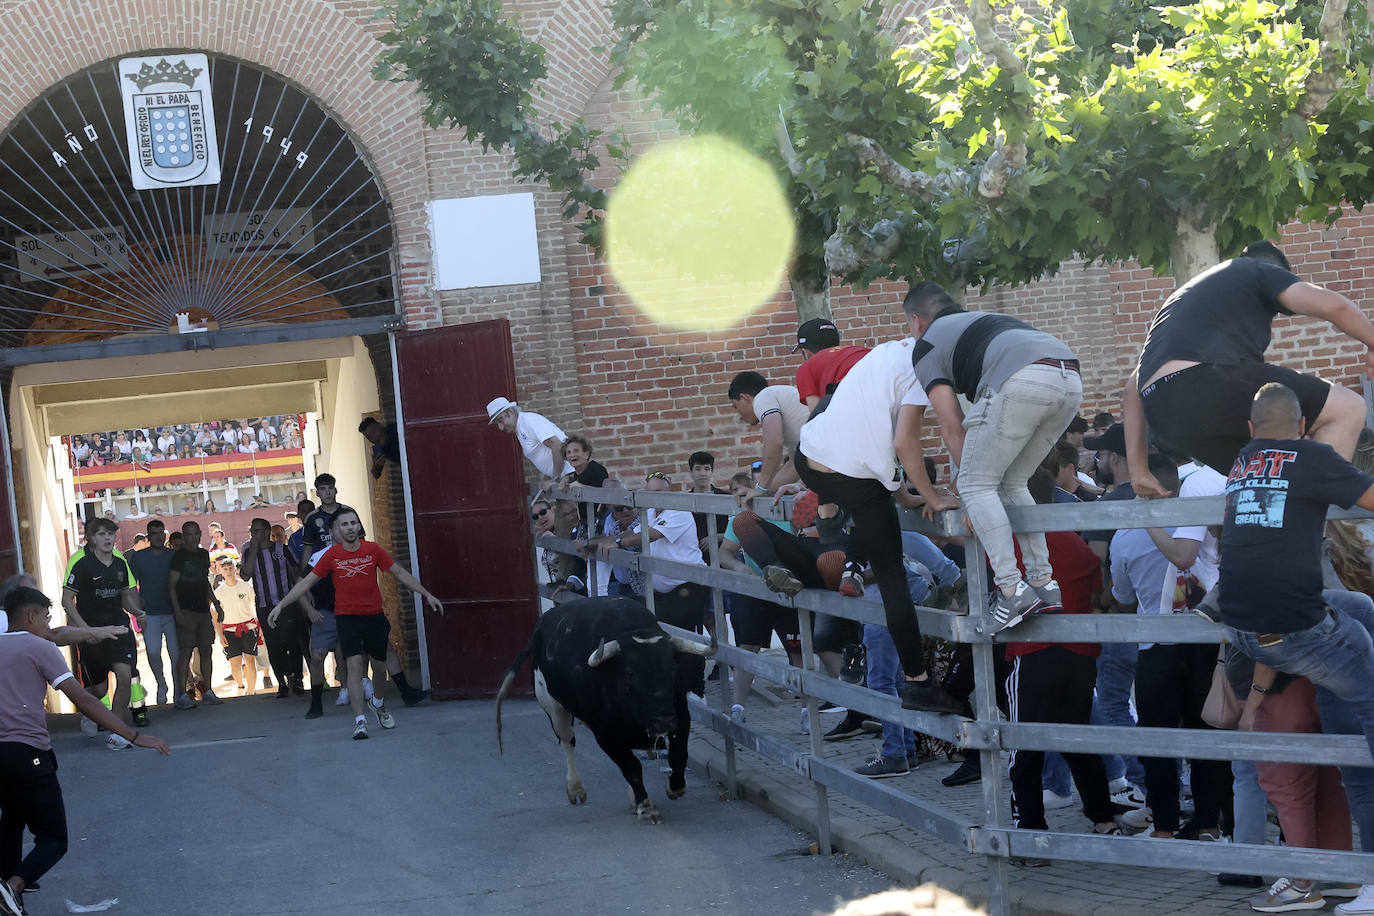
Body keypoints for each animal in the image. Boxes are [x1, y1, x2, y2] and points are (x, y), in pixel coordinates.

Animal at [494, 598, 714, 829]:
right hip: (554, 709)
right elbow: (631, 768)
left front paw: (675, 787)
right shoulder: (605, 735)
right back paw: (575, 788)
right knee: (567, 743)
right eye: (630, 673)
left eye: (673, 669)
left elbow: (679, 754)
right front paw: (646, 807)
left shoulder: (681, 717)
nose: (664, 719)